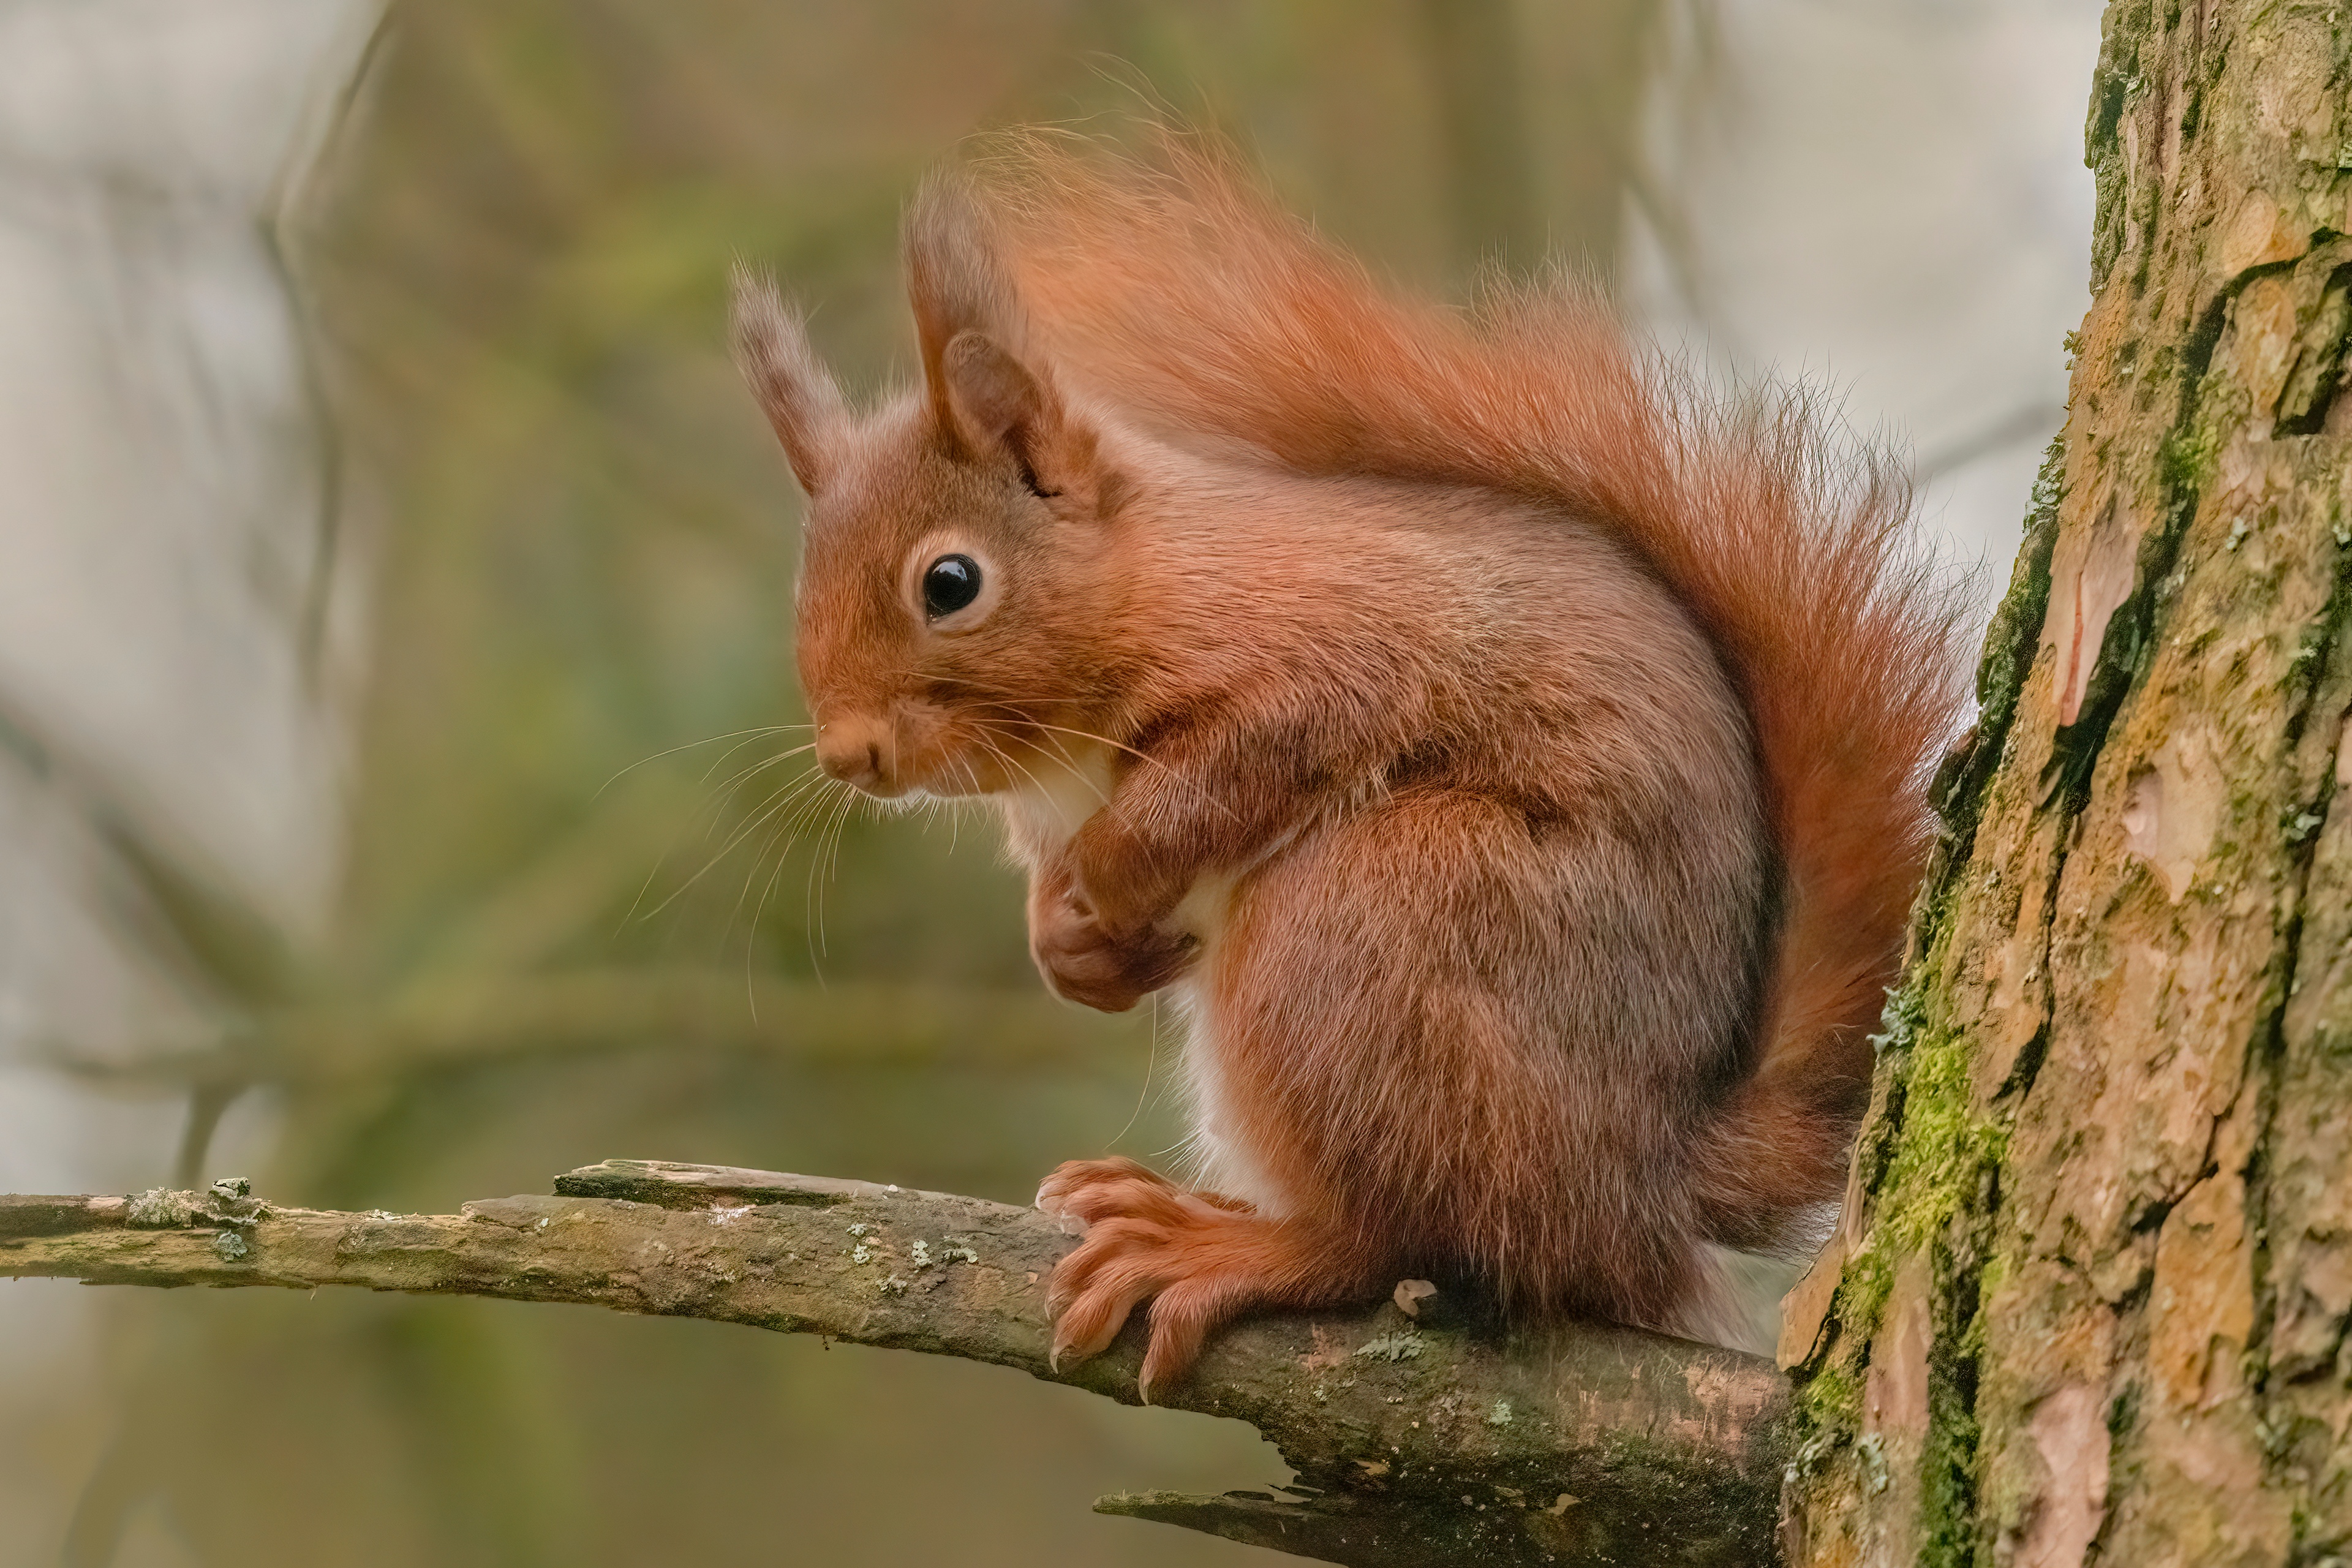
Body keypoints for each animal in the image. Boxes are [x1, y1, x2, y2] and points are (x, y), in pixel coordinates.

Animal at [734, 138, 1966, 1401]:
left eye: (950, 583)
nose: (850, 754)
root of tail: (1645, 1179)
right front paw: (1067, 948)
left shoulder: (1321, 661)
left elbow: (1222, 778)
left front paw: (1106, 883)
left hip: (1369, 926)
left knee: (1407, 1239)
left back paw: (1222, 1242)